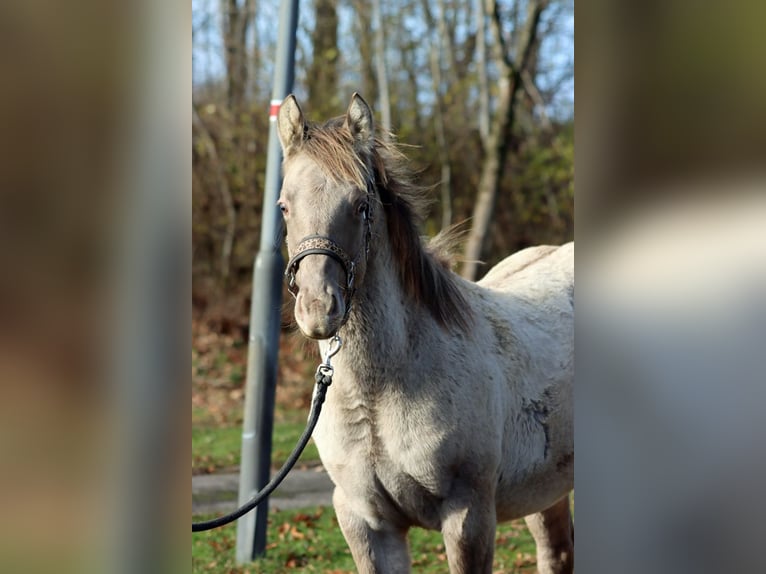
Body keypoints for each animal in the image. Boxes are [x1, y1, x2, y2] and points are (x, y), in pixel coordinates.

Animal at [276, 93, 574, 574]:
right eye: (284, 206)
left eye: (361, 205)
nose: (318, 308)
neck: (381, 390)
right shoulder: (366, 523)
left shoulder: (468, 517)